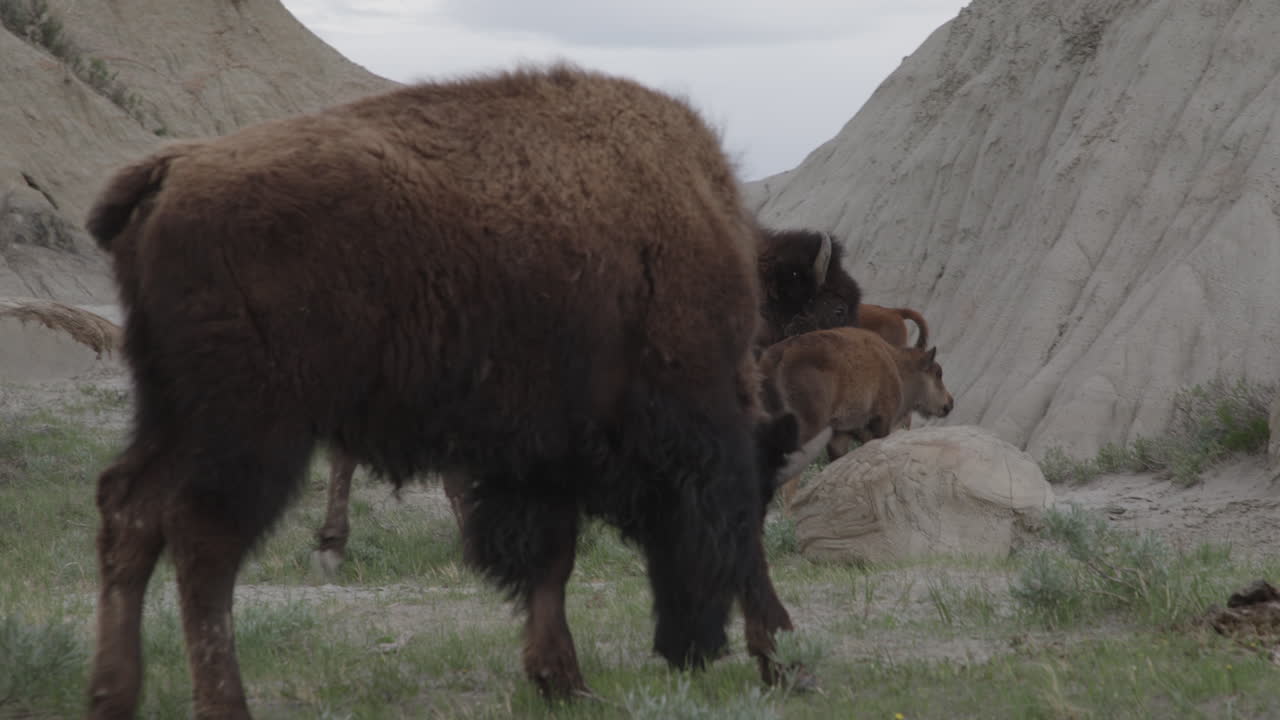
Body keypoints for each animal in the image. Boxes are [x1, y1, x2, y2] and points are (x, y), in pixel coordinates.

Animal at [82, 63, 831, 719]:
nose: (782, 661)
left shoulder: (537, 459)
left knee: (131, 511)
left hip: (176, 413)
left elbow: (549, 563)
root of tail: (171, 172)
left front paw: (561, 681)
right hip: (251, 427)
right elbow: (555, 560)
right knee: (202, 541)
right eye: (757, 491)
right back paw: (222, 702)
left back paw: (113, 696)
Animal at [759, 327, 954, 508]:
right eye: (937, 373)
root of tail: (780, 355)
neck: (897, 366)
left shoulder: (840, 435)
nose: (949, 403)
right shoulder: (881, 423)